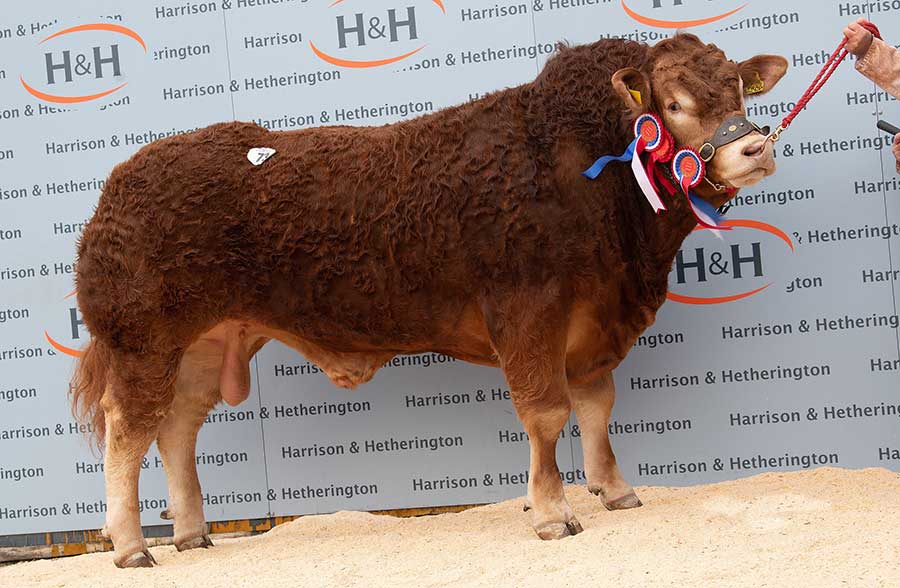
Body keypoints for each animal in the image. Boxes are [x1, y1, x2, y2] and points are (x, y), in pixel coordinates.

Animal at [72, 32, 788, 564]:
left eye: (735, 87)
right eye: (673, 104)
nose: (755, 147)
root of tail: (122, 180)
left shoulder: (594, 321)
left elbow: (596, 408)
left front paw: (614, 491)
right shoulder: (528, 310)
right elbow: (547, 413)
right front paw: (553, 514)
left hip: (202, 342)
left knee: (177, 427)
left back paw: (193, 534)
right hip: (143, 339)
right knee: (127, 430)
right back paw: (132, 546)